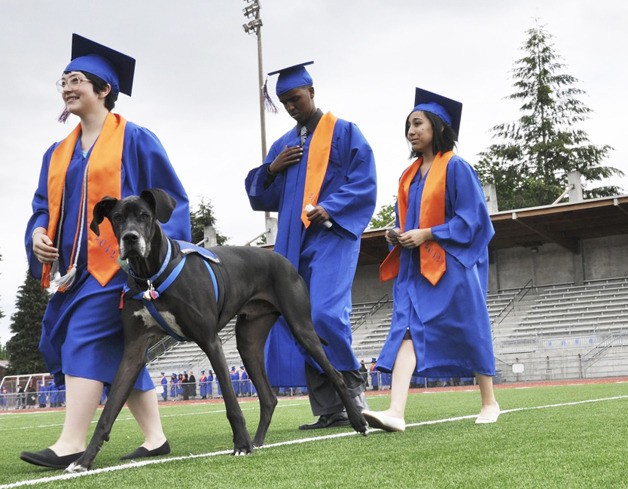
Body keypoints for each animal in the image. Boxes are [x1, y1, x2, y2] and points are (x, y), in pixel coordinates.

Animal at [65, 189, 368, 470]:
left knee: (336, 375)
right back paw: (258, 441)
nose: (130, 238)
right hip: (248, 341)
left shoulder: (210, 340)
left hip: (301, 328)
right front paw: (83, 460)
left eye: (144, 216)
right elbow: (109, 410)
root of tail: (283, 260)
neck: (152, 276)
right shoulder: (134, 350)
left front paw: (241, 445)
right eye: (117, 218)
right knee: (268, 397)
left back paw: (358, 422)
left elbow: (231, 402)